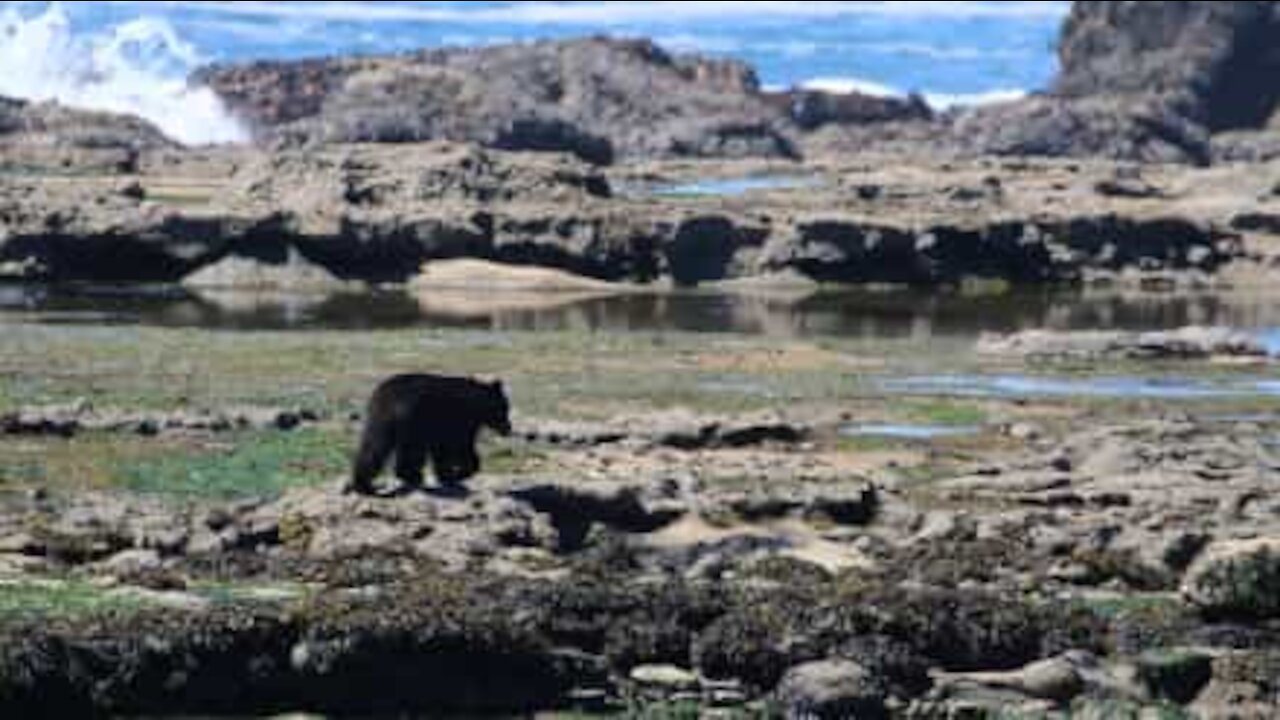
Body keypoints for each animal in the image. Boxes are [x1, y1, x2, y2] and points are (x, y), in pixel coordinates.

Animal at [350, 368, 514, 491]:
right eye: (504, 408)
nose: (508, 428)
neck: (477, 405)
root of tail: (389, 400)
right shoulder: (460, 421)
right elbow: (460, 446)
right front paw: (461, 473)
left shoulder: (440, 429)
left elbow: (442, 451)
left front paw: (446, 475)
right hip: (414, 421)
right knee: (412, 451)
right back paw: (412, 476)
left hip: (379, 420)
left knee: (374, 446)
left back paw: (364, 484)